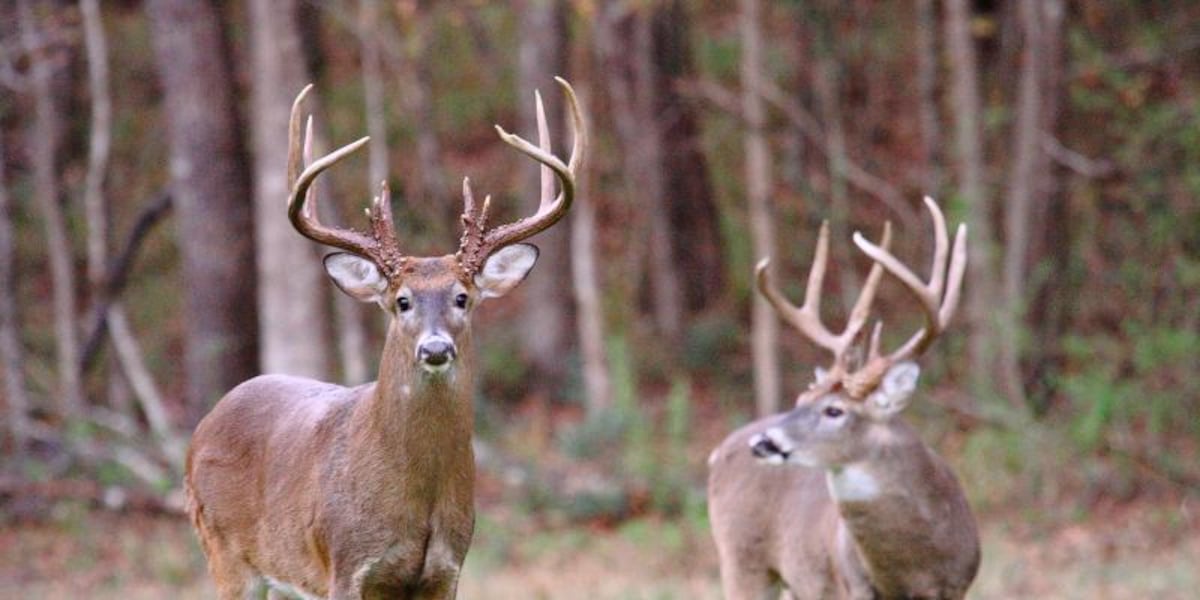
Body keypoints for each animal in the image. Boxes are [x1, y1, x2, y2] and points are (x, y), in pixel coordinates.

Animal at [184, 78, 584, 600]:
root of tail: (202, 428)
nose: (435, 348)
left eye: (462, 297)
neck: (419, 499)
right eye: (402, 301)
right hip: (224, 550)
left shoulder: (447, 569)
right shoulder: (345, 565)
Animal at [707, 197, 980, 600]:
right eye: (801, 398)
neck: (913, 569)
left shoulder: (958, 584)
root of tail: (717, 452)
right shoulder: (855, 585)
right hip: (741, 558)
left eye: (834, 410)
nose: (763, 443)